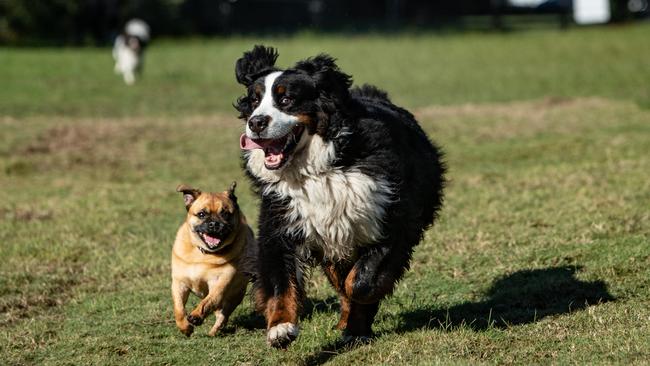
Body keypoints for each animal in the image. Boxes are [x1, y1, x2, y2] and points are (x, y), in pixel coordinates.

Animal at [170, 182, 251, 336]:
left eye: (225, 214)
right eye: (201, 214)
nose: (214, 224)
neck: (204, 254)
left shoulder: (219, 284)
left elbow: (208, 302)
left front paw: (196, 316)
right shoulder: (179, 283)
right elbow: (179, 308)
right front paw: (185, 327)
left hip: (234, 295)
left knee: (222, 315)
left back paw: (214, 331)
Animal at [234, 46, 446, 348]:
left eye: (286, 99)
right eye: (254, 101)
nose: (256, 122)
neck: (319, 169)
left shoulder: (390, 219)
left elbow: (361, 283)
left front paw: (362, 313)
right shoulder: (281, 222)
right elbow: (280, 282)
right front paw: (280, 328)